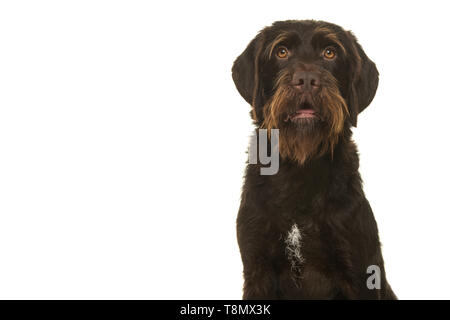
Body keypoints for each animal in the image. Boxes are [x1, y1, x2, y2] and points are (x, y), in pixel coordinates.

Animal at [234, 20, 396, 300]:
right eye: (282, 51)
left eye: (330, 53)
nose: (307, 80)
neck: (300, 168)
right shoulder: (257, 269)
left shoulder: (359, 272)